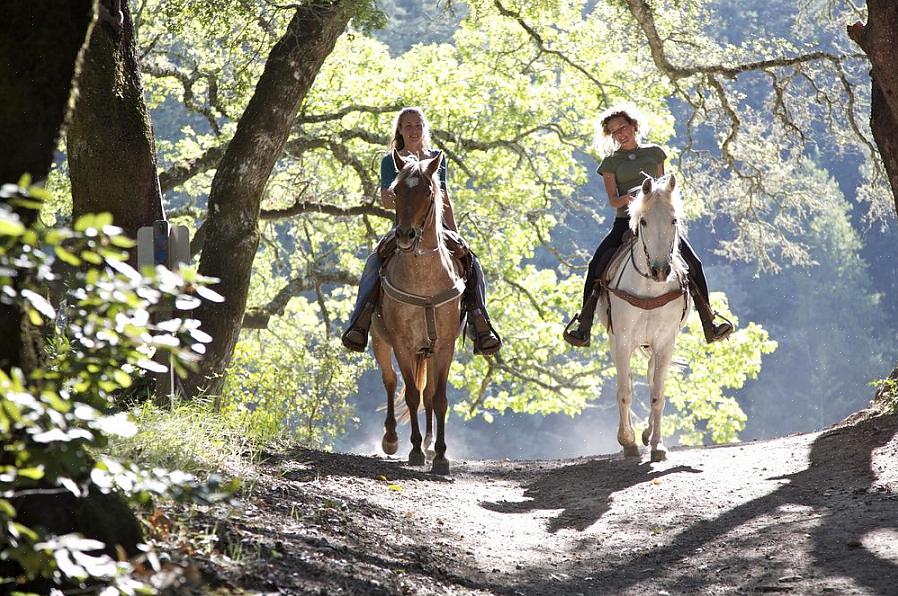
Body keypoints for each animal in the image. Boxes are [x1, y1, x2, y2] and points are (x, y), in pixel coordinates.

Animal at [368, 149, 462, 474]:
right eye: (396, 191)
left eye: (428, 191)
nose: (406, 236)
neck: (424, 283)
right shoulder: (403, 345)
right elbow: (410, 394)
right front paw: (415, 451)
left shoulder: (445, 346)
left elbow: (440, 398)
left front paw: (441, 456)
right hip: (380, 342)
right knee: (391, 382)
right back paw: (392, 439)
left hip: (429, 352)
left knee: (430, 395)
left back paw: (432, 445)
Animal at [600, 175, 688, 464]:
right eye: (644, 221)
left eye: (673, 220)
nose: (660, 270)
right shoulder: (622, 340)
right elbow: (625, 392)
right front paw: (627, 441)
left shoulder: (665, 343)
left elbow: (657, 394)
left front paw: (658, 445)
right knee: (627, 382)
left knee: (650, 378)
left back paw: (648, 434)